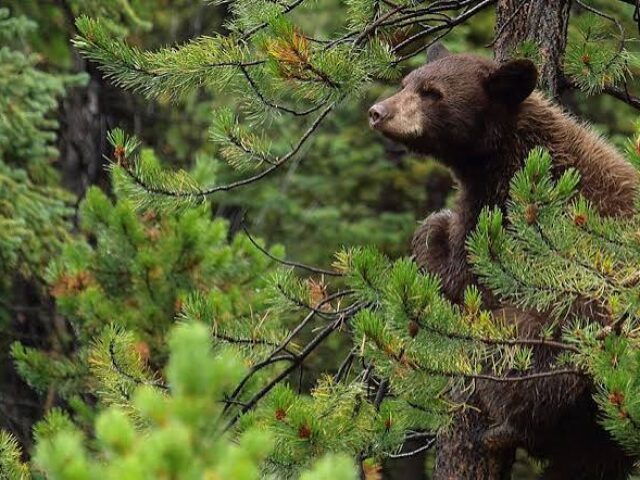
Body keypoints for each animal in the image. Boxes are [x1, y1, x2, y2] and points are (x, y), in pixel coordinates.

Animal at [368, 44, 639, 479]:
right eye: (406, 82)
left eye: (432, 93)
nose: (378, 112)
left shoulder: (509, 218)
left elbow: (465, 273)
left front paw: (433, 231)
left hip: (569, 332)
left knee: (520, 363)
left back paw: (502, 428)